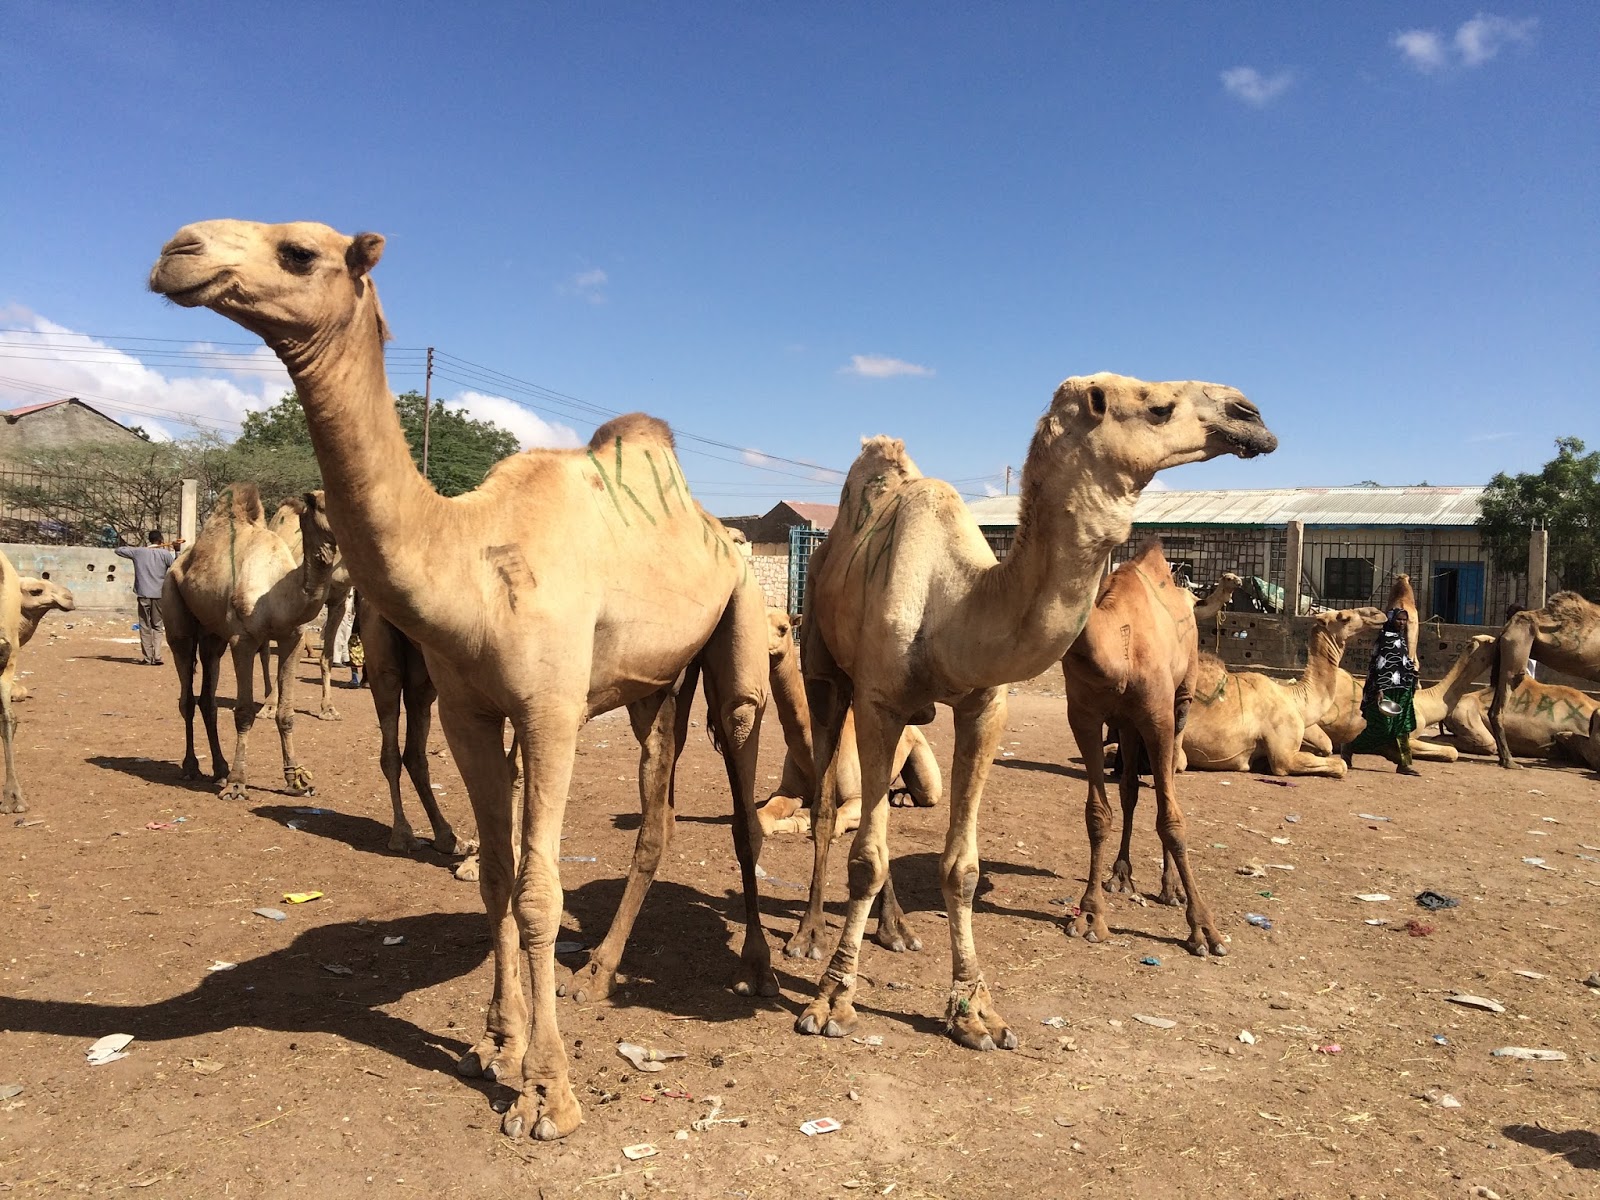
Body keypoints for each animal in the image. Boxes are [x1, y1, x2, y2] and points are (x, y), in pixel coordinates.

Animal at [160, 486, 341, 800]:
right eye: (323, 504)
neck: (278, 592)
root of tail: (179, 562)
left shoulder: (292, 638)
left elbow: (286, 713)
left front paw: (295, 780)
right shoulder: (242, 640)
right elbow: (244, 712)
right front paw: (237, 784)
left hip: (213, 636)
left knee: (207, 697)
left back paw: (219, 769)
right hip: (177, 618)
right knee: (186, 696)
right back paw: (192, 767)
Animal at [1061, 540, 1222, 954]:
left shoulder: (1158, 716)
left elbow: (1171, 820)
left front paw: (1204, 930)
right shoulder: (1084, 716)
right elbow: (1097, 814)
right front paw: (1089, 916)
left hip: (1180, 699)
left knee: (1170, 783)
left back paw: (1171, 890)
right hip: (1127, 723)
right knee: (1130, 789)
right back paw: (1120, 876)